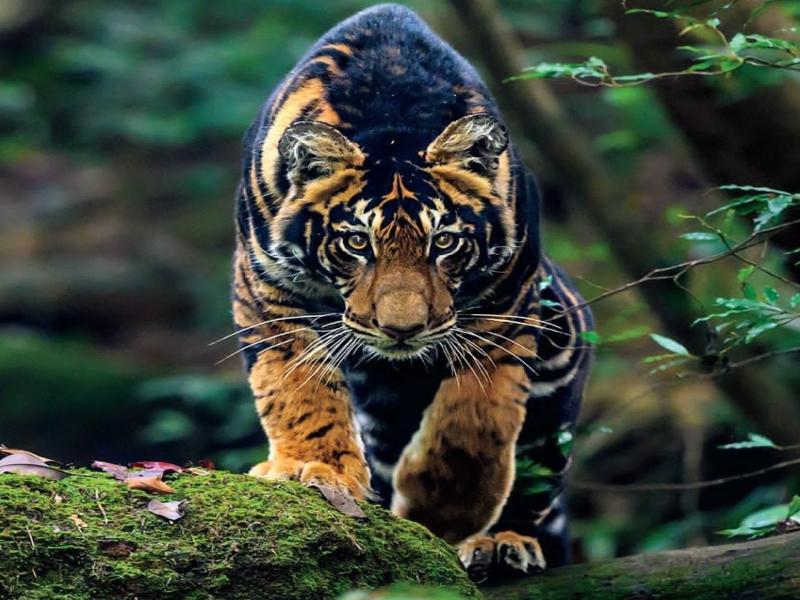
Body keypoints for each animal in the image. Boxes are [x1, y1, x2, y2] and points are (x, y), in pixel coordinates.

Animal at [232, 4, 593, 583]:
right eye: (357, 242)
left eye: (442, 241)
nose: (402, 330)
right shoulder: (268, 289)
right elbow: (298, 391)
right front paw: (314, 468)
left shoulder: (508, 303)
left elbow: (476, 418)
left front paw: (447, 511)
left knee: (535, 473)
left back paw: (502, 543)